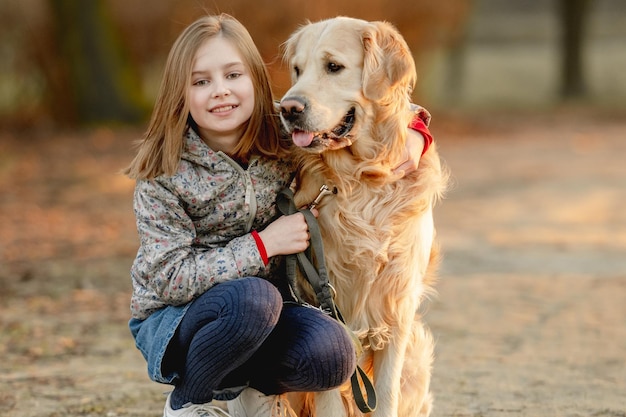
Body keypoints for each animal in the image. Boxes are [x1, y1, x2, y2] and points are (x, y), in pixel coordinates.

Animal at [280, 15, 448, 416]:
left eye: (333, 66)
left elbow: (385, 397)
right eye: (297, 70)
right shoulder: (327, 310)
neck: (361, 181)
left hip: (417, 351)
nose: (288, 108)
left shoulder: (397, 309)